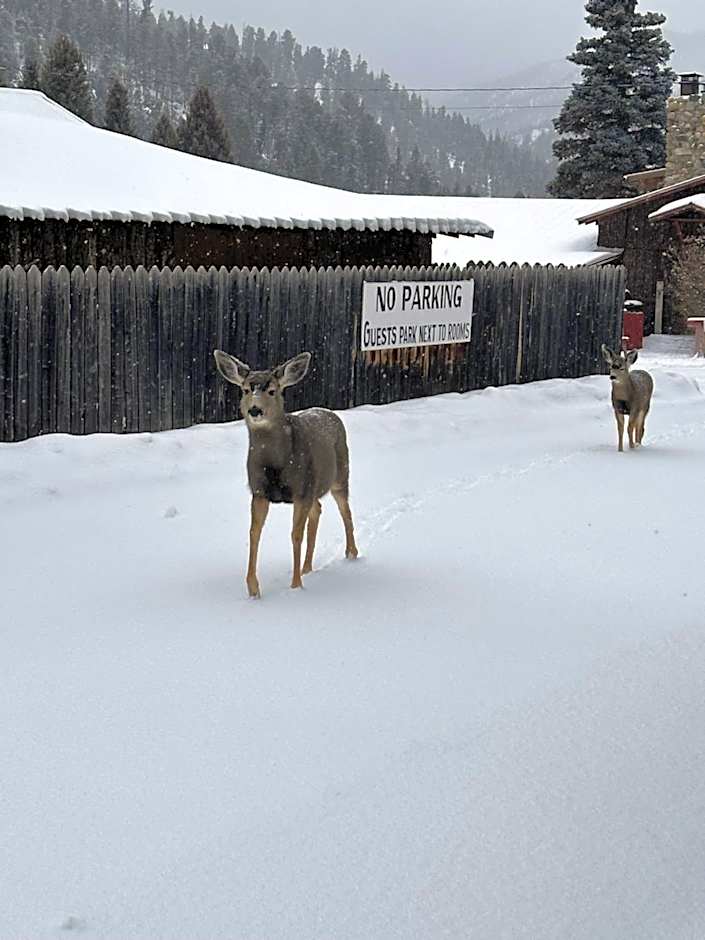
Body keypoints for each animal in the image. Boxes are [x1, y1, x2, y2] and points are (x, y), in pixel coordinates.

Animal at [213, 349, 358, 598]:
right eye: (245, 389)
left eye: (272, 390)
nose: (255, 410)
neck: (276, 465)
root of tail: (330, 413)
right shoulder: (259, 491)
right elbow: (254, 533)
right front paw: (253, 589)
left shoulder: (301, 489)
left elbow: (295, 534)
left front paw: (296, 585)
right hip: (315, 486)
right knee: (318, 509)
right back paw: (308, 567)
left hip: (340, 474)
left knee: (345, 510)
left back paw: (351, 553)